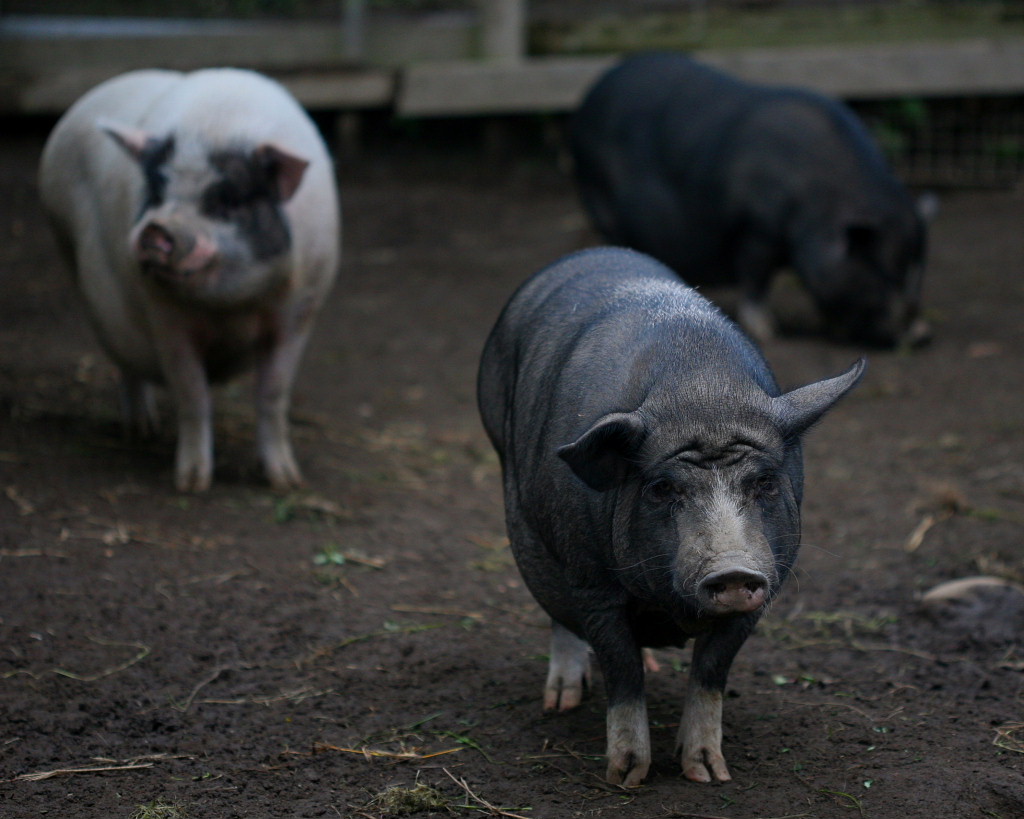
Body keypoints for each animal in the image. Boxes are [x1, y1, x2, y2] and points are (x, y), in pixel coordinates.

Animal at [40, 67, 339, 489]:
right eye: (156, 190)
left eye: (227, 200)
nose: (155, 230)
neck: (230, 306)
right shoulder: (166, 318)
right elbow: (193, 395)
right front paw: (192, 484)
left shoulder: (298, 311)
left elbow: (273, 394)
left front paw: (286, 481)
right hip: (75, 263)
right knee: (126, 365)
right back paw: (142, 432)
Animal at [479, 247, 864, 786]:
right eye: (663, 488)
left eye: (765, 482)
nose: (732, 569)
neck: (702, 397)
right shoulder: (592, 582)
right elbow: (622, 670)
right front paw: (625, 778)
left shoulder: (767, 584)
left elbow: (711, 672)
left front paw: (707, 773)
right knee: (558, 614)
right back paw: (562, 703)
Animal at [573, 51, 933, 346]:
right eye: (886, 274)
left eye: (919, 270)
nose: (920, 335)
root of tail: (586, 101)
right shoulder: (755, 232)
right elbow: (755, 281)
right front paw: (768, 333)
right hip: (597, 194)